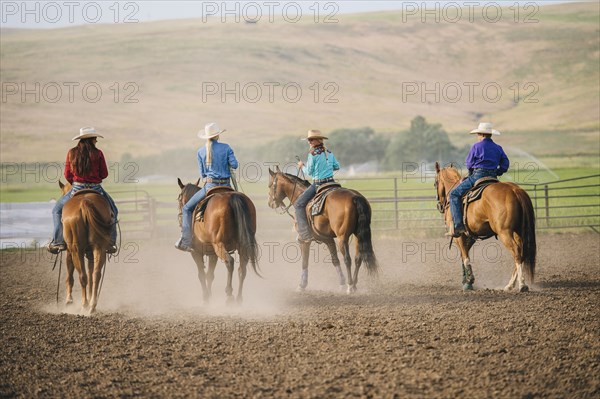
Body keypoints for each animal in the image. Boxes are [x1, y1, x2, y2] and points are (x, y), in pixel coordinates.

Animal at [58, 182, 112, 316]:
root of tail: (84, 202)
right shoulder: (91, 253)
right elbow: (91, 273)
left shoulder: (69, 252)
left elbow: (70, 273)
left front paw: (69, 300)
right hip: (99, 248)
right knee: (96, 274)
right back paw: (92, 306)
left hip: (76, 249)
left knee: (82, 276)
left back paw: (84, 305)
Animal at [268, 166, 378, 294]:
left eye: (270, 185)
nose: (270, 203)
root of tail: (355, 197)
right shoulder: (328, 239)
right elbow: (335, 260)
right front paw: (341, 283)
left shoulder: (304, 240)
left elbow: (304, 262)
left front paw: (302, 285)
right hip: (358, 235)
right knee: (358, 258)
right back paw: (354, 285)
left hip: (342, 238)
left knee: (348, 259)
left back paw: (350, 286)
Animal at [434, 162, 536, 294]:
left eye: (435, 182)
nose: (440, 205)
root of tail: (515, 190)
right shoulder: (470, 236)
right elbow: (464, 256)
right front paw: (466, 282)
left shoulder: (459, 236)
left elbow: (465, 257)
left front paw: (470, 280)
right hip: (519, 231)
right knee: (522, 253)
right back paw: (510, 285)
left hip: (505, 232)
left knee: (517, 252)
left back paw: (522, 285)